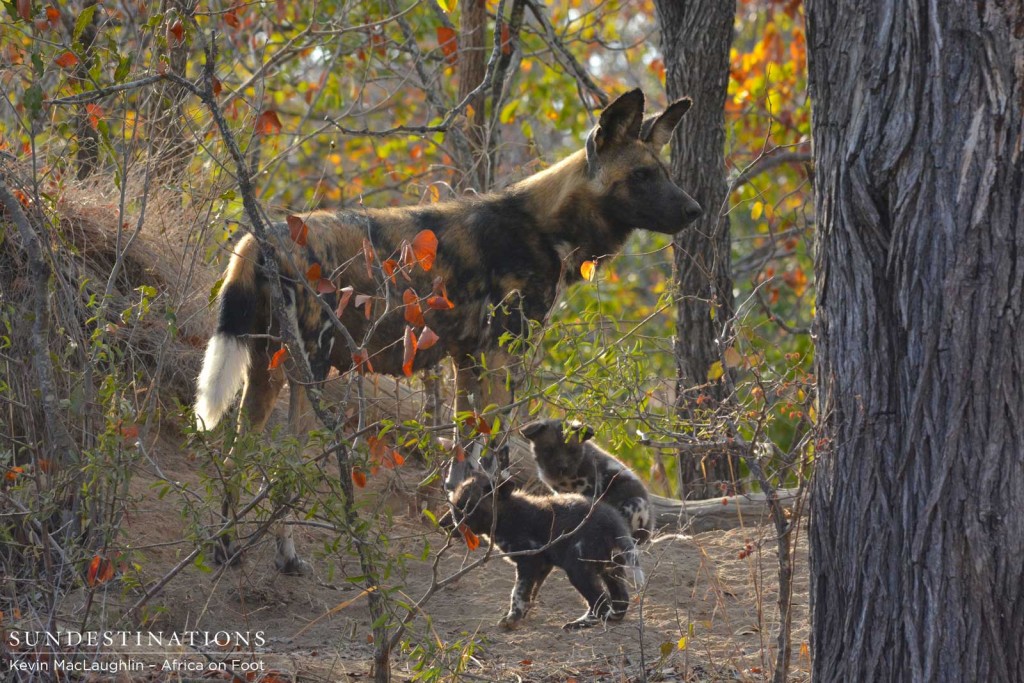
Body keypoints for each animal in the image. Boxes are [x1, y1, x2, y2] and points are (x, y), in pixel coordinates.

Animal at [194, 88, 700, 573]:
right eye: (641, 176)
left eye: (665, 172)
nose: (695, 210)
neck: (545, 225)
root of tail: (258, 239)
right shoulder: (500, 356)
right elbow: (494, 454)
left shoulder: (468, 359)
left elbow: (463, 456)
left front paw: (458, 521)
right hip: (309, 373)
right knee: (281, 463)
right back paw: (285, 555)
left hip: (266, 371)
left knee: (237, 457)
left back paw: (227, 549)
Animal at [448, 471, 638, 630]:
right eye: (455, 507)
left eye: (467, 508)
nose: (447, 526)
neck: (505, 515)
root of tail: (613, 522)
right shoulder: (543, 565)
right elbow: (530, 593)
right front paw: (521, 614)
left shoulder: (529, 561)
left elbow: (518, 592)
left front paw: (512, 619)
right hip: (610, 568)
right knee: (619, 601)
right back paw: (610, 618)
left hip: (578, 570)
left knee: (600, 601)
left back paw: (582, 623)